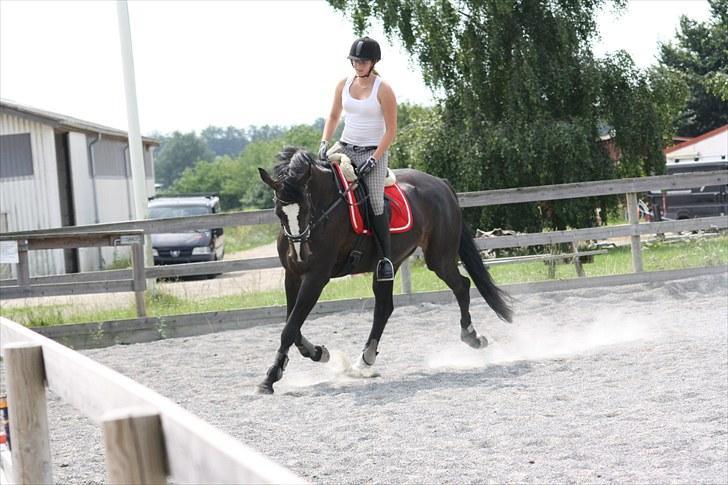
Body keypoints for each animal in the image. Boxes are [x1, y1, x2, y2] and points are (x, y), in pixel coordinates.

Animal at [258, 147, 512, 394]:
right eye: (279, 212)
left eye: (306, 209)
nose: (300, 253)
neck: (326, 209)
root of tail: (441, 183)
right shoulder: (292, 276)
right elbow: (292, 325)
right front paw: (318, 353)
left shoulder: (316, 277)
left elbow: (291, 327)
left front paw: (270, 377)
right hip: (390, 263)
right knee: (384, 308)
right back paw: (365, 360)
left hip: (439, 258)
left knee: (461, 286)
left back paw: (472, 337)